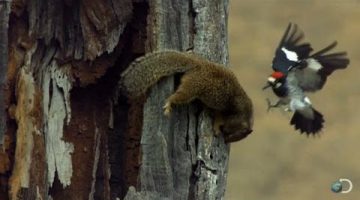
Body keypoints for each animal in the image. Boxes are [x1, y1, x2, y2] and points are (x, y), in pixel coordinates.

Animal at [119, 50, 255, 143]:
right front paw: (217, 129)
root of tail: (196, 64)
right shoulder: (226, 112)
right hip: (191, 89)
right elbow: (218, 118)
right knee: (178, 96)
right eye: (233, 134)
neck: (245, 115)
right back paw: (169, 104)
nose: (226, 142)